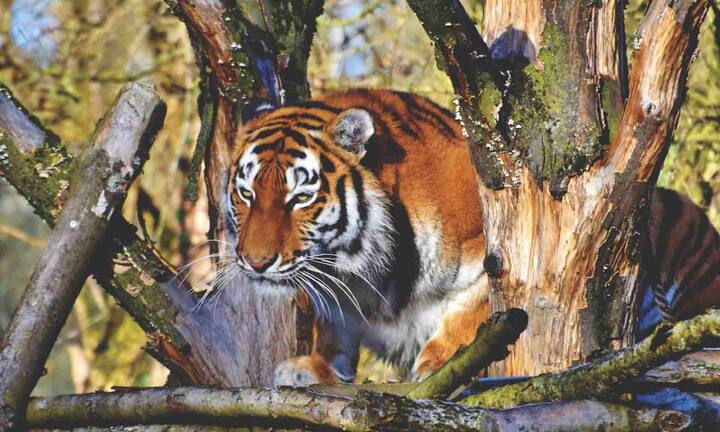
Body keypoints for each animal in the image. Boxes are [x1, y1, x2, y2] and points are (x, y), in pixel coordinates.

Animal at [224, 88, 720, 387]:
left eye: (300, 198)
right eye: (247, 193)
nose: (255, 261)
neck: (359, 267)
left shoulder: (494, 258)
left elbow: (471, 314)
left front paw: (437, 364)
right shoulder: (336, 290)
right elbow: (335, 329)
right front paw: (313, 368)